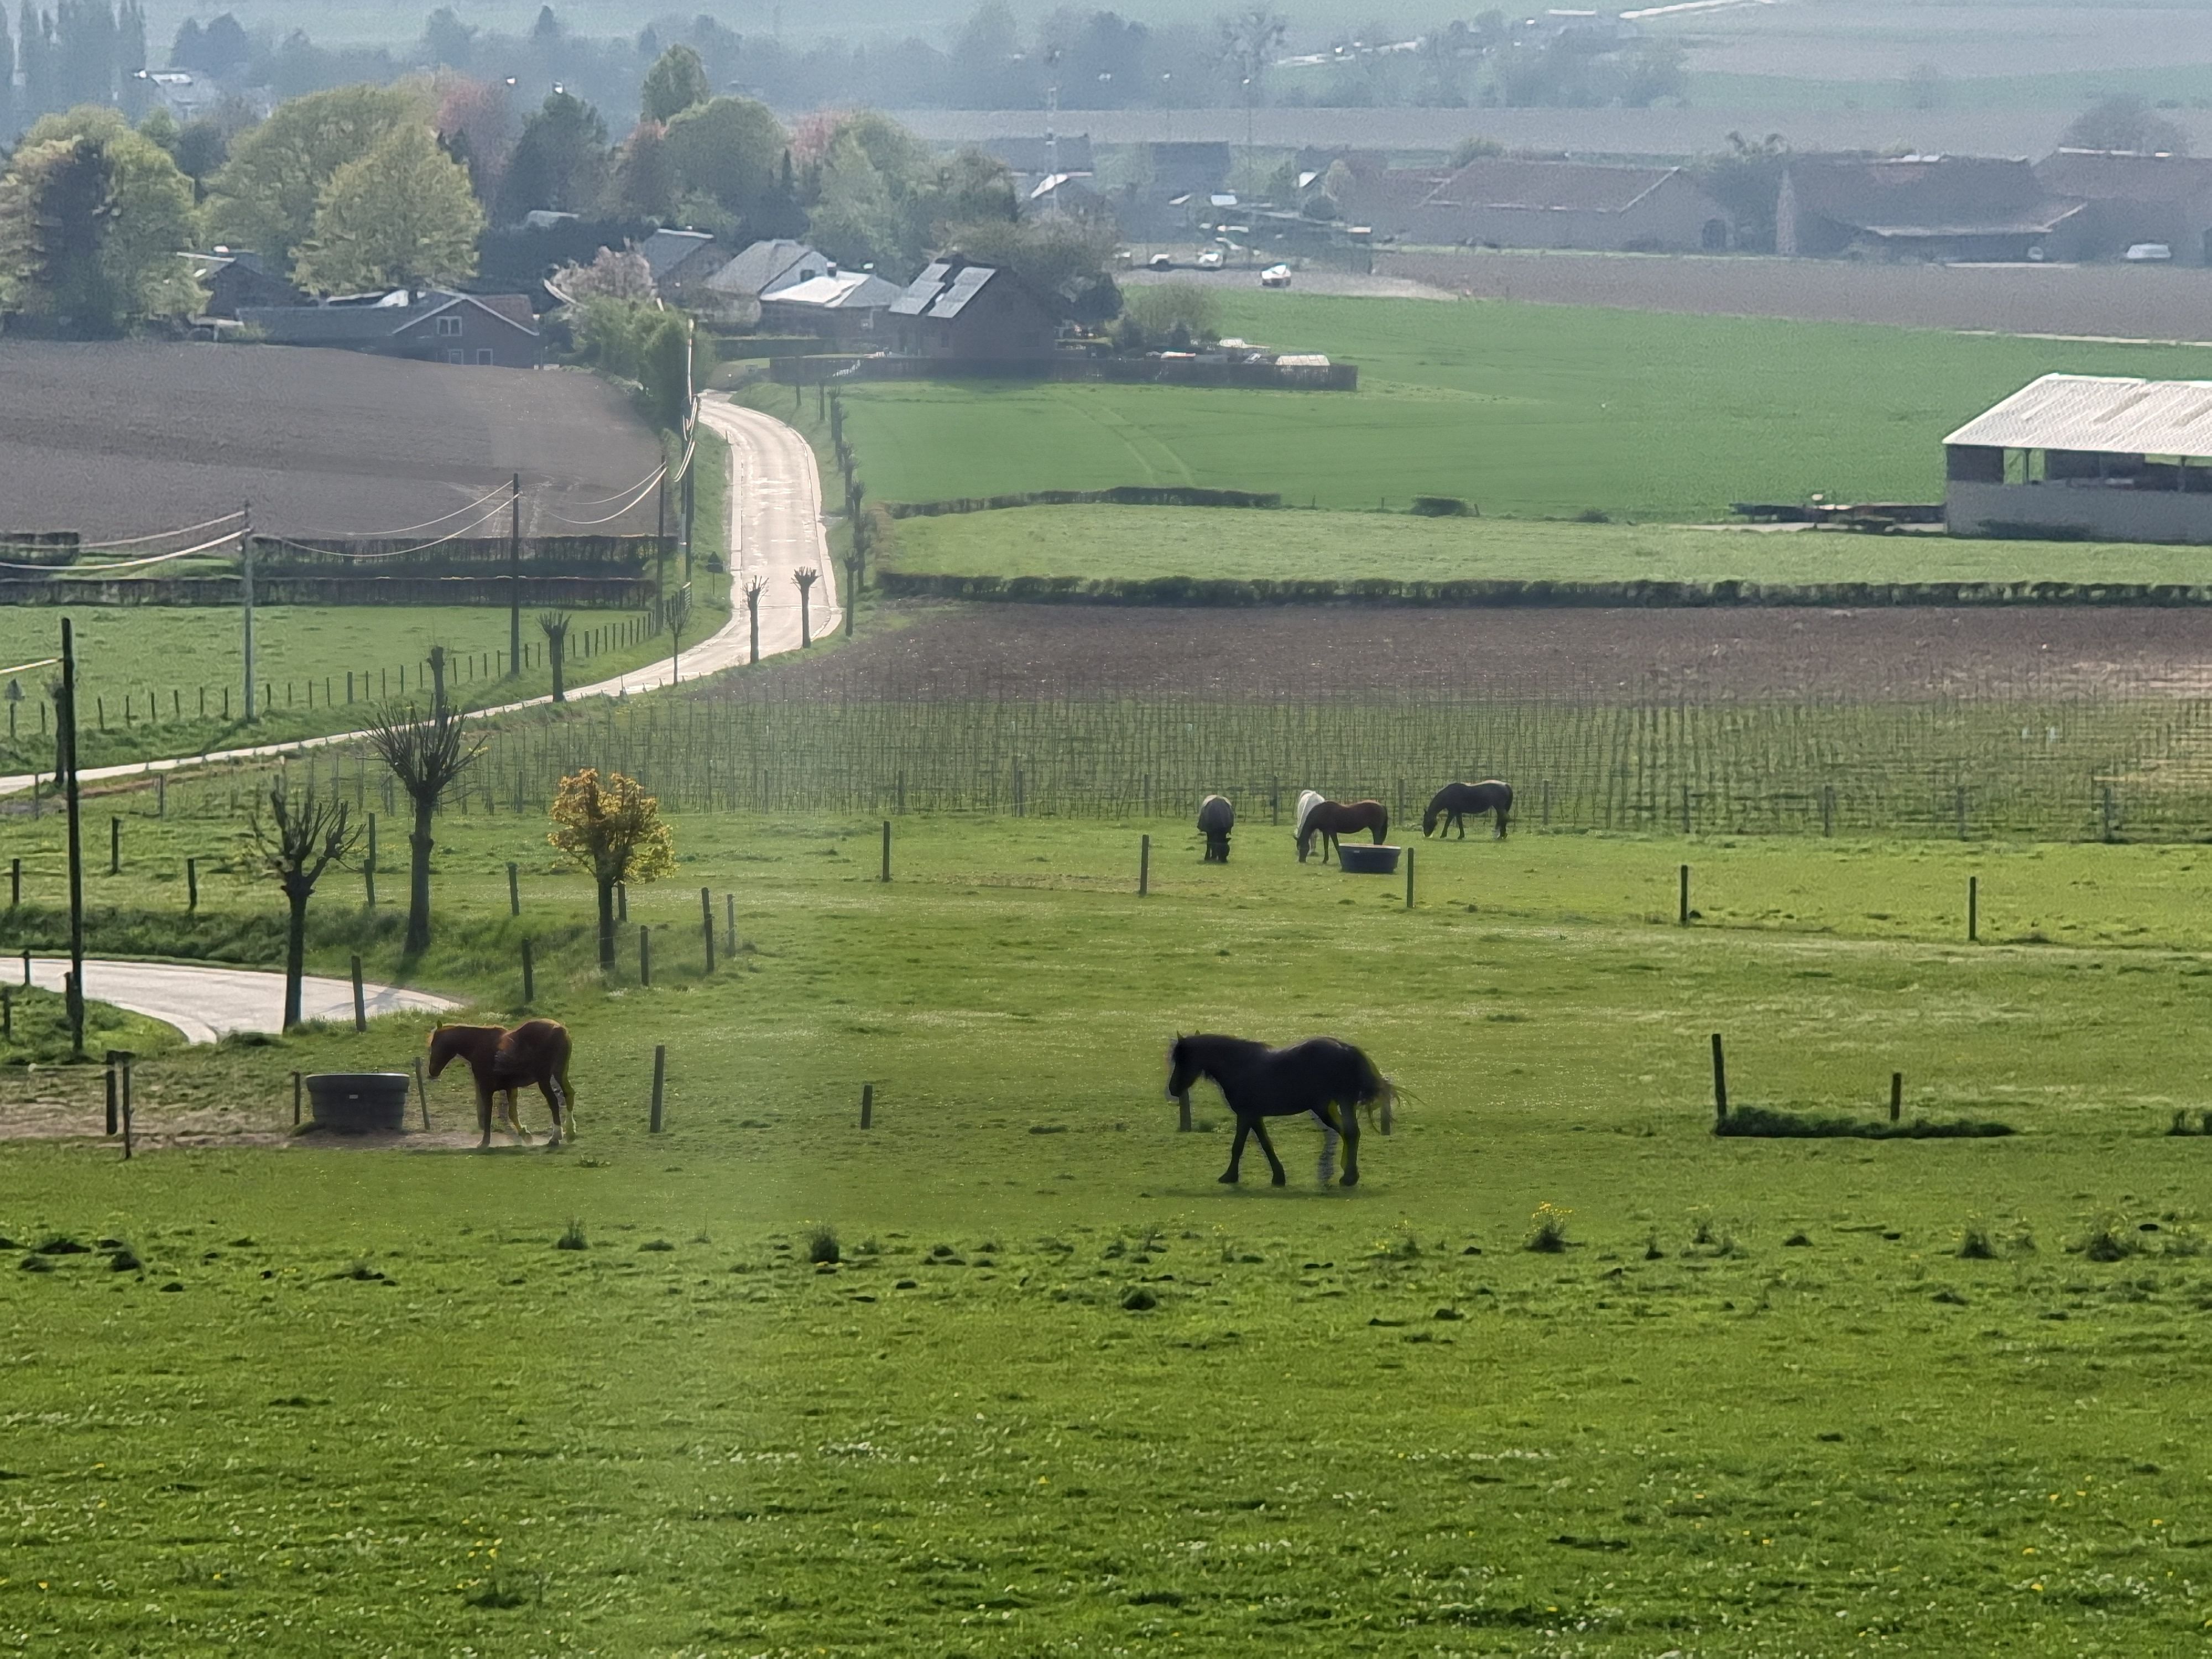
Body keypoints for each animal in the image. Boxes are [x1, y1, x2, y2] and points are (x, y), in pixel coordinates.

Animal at [427, 1022, 575, 1150]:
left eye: (435, 1044)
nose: (432, 1071)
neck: (478, 1045)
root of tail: (559, 1029)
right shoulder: (511, 1087)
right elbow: (512, 1113)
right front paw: (525, 1135)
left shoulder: (486, 1090)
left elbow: (488, 1115)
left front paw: (485, 1142)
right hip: (560, 1074)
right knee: (569, 1094)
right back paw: (570, 1133)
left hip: (544, 1080)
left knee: (554, 1103)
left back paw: (555, 1138)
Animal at [1168, 1035, 1389, 1186]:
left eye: (1183, 1059)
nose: (1173, 1089)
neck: (1239, 1066)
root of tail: (1346, 1049)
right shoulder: (1253, 1116)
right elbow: (1265, 1144)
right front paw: (1278, 1177)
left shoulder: (1246, 1115)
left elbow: (1239, 1146)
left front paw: (1230, 1176)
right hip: (1338, 1105)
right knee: (1351, 1133)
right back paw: (1349, 1175)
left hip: (1329, 1107)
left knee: (1349, 1133)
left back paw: (1349, 1177)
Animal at [1292, 796, 1389, 872]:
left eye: (1303, 847)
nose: (1301, 860)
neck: (1322, 812)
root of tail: (1381, 806)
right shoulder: (1326, 832)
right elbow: (1327, 846)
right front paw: (1326, 860)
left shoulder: (1331, 831)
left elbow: (1336, 846)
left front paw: (1340, 861)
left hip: (1375, 830)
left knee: (1378, 843)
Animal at [1425, 787, 1513, 845]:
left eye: (1426, 821)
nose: (1426, 835)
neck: (1449, 795)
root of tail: (1506, 786)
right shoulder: (1457, 812)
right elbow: (1460, 823)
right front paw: (1461, 836)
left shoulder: (1453, 811)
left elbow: (1448, 822)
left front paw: (1443, 835)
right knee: (1503, 818)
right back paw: (1501, 835)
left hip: (1499, 807)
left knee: (1504, 818)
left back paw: (1501, 836)